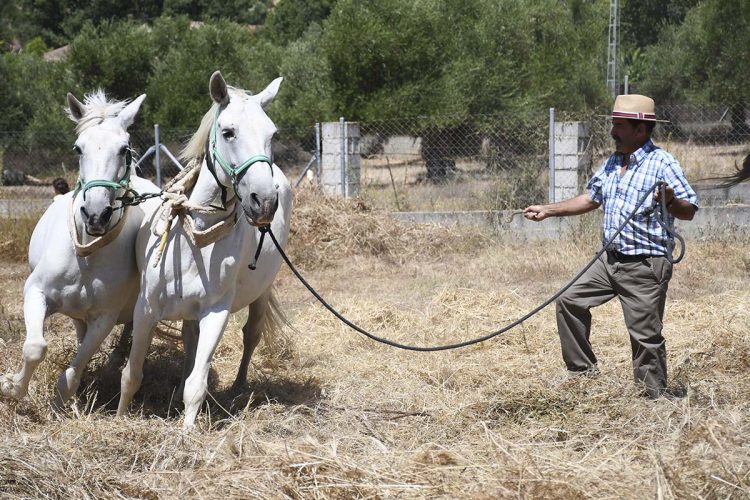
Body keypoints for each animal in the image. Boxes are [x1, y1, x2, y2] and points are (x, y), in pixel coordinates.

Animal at [0, 91, 159, 406]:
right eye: (78, 148)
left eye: (124, 149)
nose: (96, 215)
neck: (87, 255)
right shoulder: (35, 292)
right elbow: (35, 347)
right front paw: (12, 388)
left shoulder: (104, 318)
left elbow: (74, 370)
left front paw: (62, 400)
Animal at [118, 72, 294, 428]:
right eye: (228, 132)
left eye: (272, 134)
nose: (265, 201)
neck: (195, 240)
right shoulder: (145, 310)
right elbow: (131, 375)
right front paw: (117, 416)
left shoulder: (216, 312)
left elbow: (196, 385)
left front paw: (187, 431)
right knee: (190, 339)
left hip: (261, 293)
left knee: (250, 335)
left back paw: (239, 386)